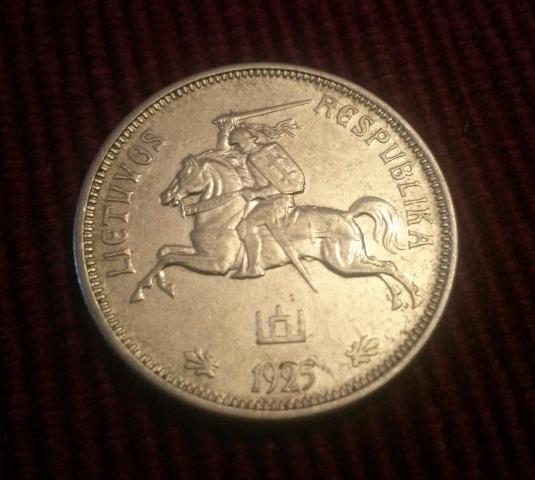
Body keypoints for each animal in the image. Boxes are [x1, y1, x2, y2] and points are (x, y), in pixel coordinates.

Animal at [131, 153, 421, 310]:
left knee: (387, 266)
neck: (221, 216)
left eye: (185, 173)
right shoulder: (199, 251)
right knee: (381, 267)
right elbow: (165, 251)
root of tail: (347, 215)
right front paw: (161, 286)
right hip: (352, 260)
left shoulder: (216, 263)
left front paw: (141, 290)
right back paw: (398, 299)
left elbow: (169, 257)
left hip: (344, 262)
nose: (165, 196)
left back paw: (414, 296)